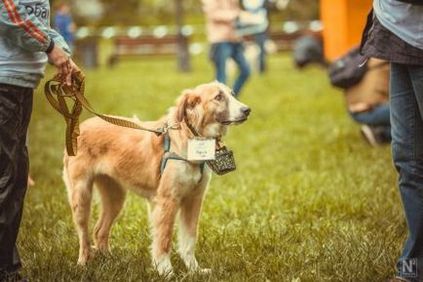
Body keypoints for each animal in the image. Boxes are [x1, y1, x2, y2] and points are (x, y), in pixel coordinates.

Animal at [63, 81, 252, 276]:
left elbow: (189, 240)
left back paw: (111, 261)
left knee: (99, 231)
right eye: (218, 97)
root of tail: (82, 124)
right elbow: (164, 239)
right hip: (81, 194)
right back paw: (83, 264)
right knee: (84, 234)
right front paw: (165, 270)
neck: (190, 137)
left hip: (115, 196)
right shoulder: (167, 201)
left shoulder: (194, 200)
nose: (247, 110)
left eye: (232, 94)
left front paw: (194, 269)